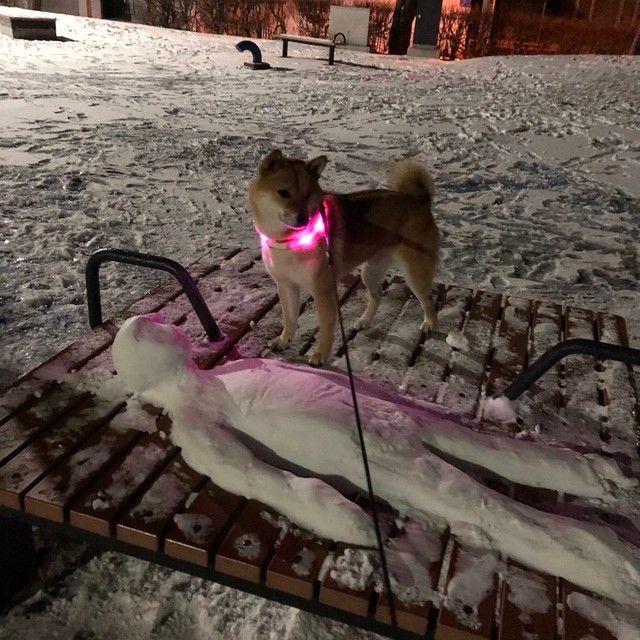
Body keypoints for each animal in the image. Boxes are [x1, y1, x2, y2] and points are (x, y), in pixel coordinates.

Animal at [248, 150, 438, 368]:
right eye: (283, 192)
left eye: (307, 195)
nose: (303, 218)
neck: (289, 241)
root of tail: (419, 201)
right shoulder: (286, 285)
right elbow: (289, 318)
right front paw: (284, 340)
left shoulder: (323, 290)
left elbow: (325, 326)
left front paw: (321, 354)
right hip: (370, 272)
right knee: (377, 295)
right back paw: (365, 321)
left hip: (414, 274)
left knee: (427, 300)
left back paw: (430, 323)